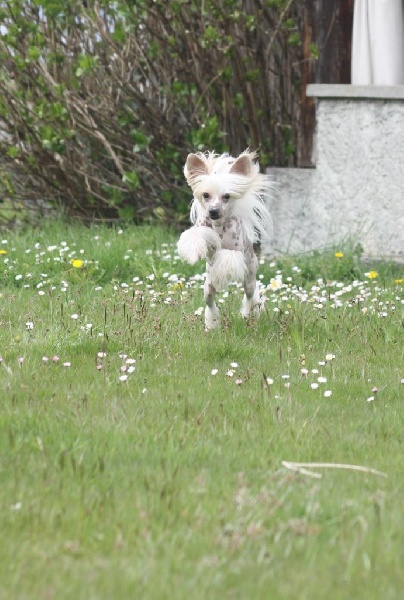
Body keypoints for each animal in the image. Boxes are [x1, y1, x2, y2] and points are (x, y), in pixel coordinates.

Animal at [178, 149, 274, 328]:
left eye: (227, 196)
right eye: (206, 195)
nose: (213, 211)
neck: (219, 225)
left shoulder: (234, 251)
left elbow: (227, 257)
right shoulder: (201, 229)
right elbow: (196, 236)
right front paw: (194, 252)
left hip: (249, 277)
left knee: (250, 296)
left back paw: (249, 315)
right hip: (207, 289)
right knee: (210, 303)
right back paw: (212, 325)